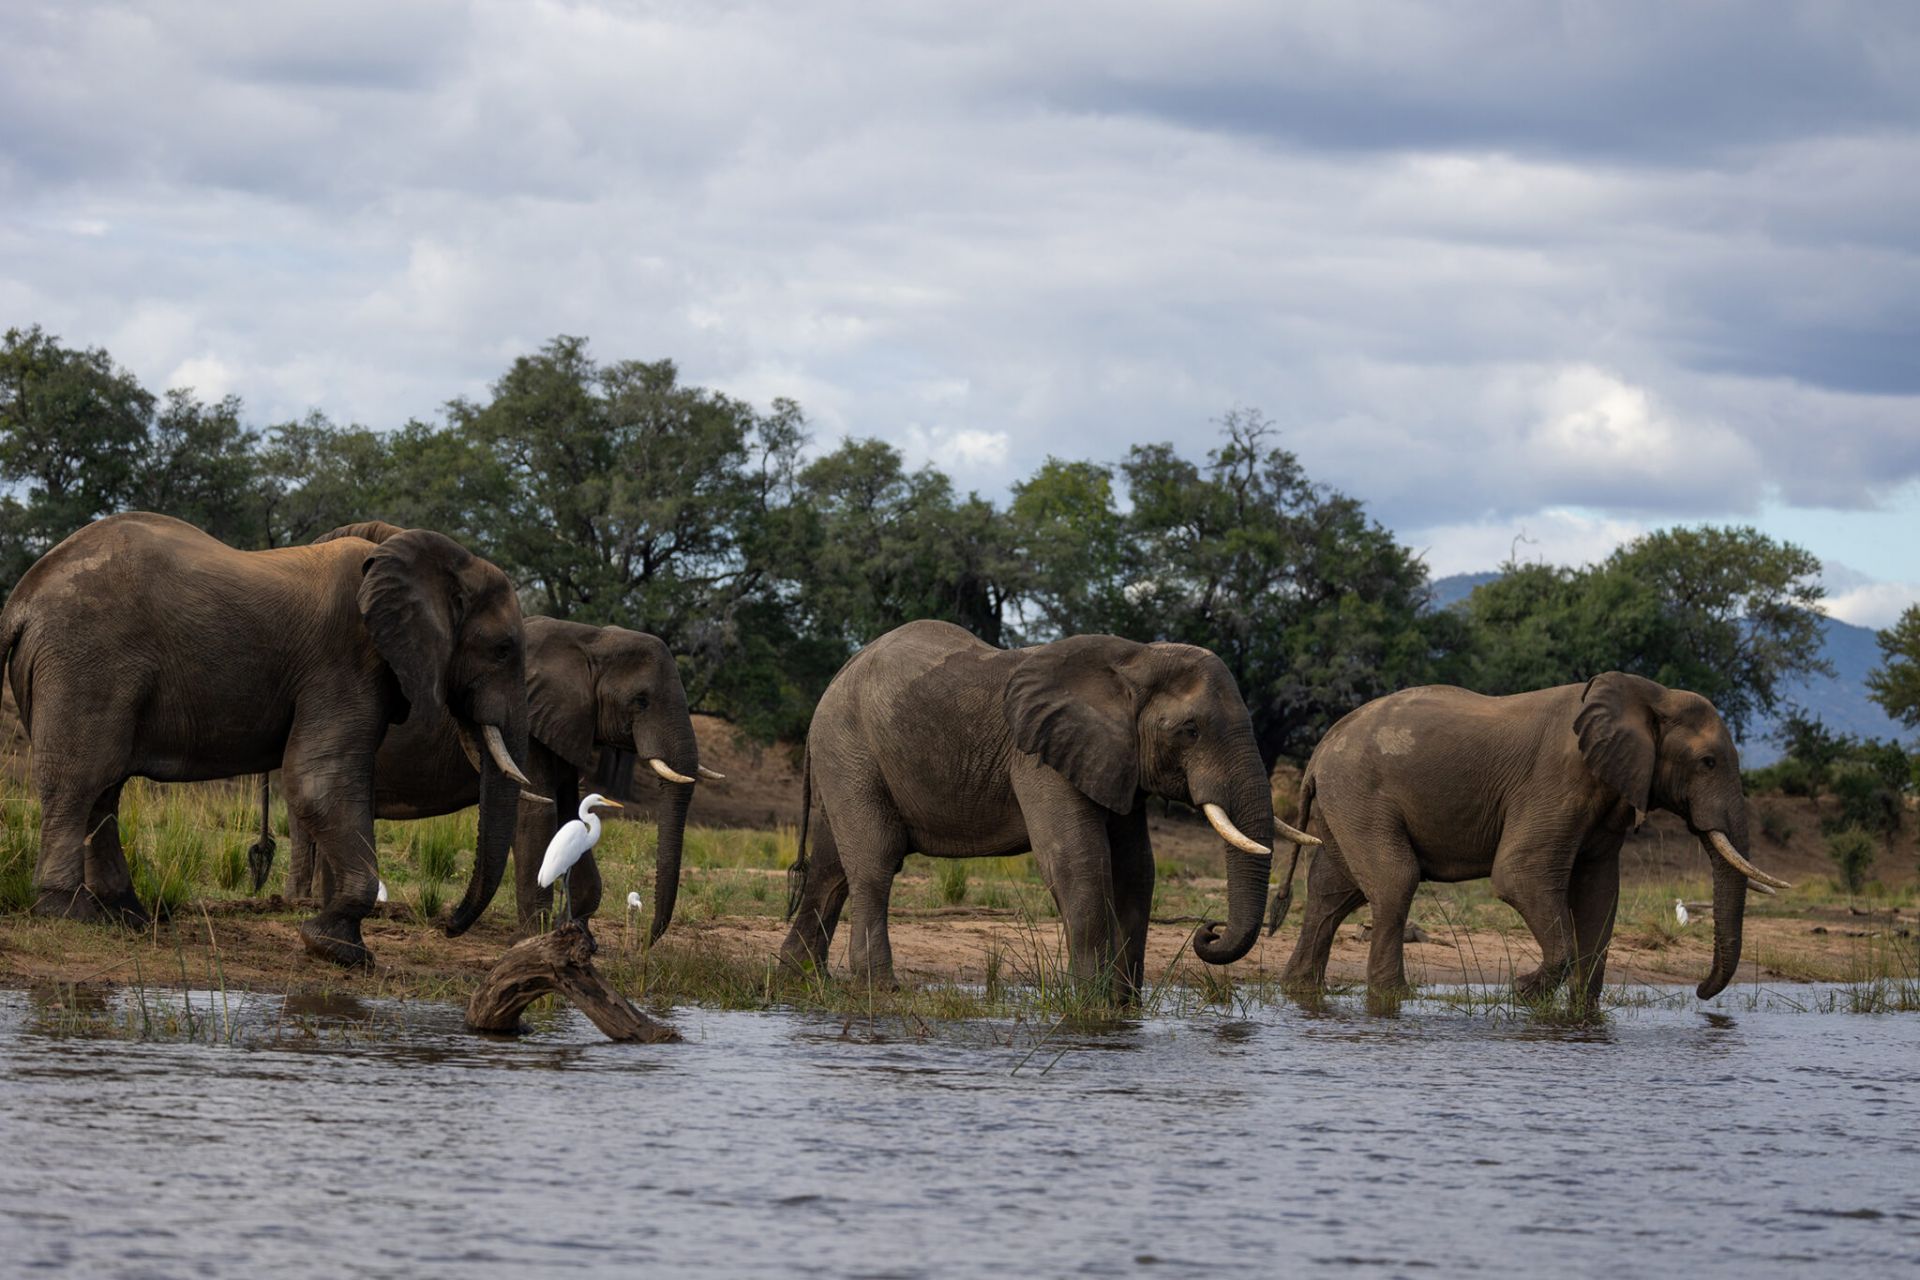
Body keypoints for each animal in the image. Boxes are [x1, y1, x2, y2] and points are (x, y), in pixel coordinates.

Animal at [0, 512, 533, 966]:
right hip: (86, 660)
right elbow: (317, 780)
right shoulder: (346, 657)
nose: (448, 926)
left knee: (104, 788)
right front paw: (339, 950)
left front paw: (335, 943)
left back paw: (126, 916)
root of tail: (21, 598)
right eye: (503, 650)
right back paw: (70, 911)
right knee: (82, 780)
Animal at [780, 619, 1319, 1000]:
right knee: (874, 862)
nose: (1208, 930)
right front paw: (1093, 1004)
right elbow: (1078, 861)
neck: (1136, 659)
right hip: (849, 747)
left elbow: (1136, 870)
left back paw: (797, 978)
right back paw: (880, 989)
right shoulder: (1039, 756)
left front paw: (1125, 1006)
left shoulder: (1113, 758)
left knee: (831, 869)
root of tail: (840, 673)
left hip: (847, 757)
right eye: (1190, 730)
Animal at [1266, 672, 1792, 1006]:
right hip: (1361, 792)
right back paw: (1393, 998)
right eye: (1708, 762)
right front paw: (1521, 994)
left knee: (1333, 892)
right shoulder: (1558, 779)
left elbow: (1599, 892)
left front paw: (1582, 1012)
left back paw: (1300, 991)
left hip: (1346, 801)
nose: (1701, 991)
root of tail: (1319, 752)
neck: (1648, 693)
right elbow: (1519, 875)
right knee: (1395, 881)